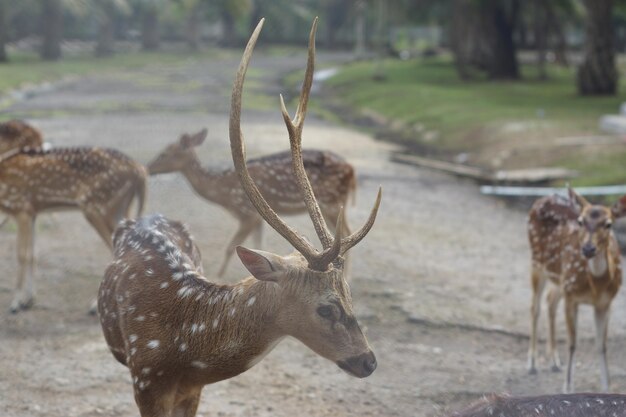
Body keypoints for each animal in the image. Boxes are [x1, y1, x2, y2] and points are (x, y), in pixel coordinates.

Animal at [0, 118, 147, 310]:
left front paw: (16, 302)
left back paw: (95, 305)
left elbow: (22, 255)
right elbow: (33, 254)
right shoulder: (32, 212)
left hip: (97, 206)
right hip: (119, 208)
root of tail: (141, 171)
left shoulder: (21, 208)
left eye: (6, 130)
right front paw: (28, 299)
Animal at [144, 127, 354, 276]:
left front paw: (219, 276)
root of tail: (352, 170)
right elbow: (258, 245)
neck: (223, 191)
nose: (147, 168)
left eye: (164, 153)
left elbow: (230, 247)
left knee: (345, 234)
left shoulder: (246, 211)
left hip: (331, 202)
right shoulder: (257, 217)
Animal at [524, 190, 620, 392]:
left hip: (560, 279)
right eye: (581, 221)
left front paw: (607, 388)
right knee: (535, 307)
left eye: (609, 224)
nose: (588, 249)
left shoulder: (605, 303)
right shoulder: (572, 296)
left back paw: (554, 362)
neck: (596, 286)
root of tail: (543, 197)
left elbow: (602, 345)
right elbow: (572, 343)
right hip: (537, 262)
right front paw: (568, 388)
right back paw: (532, 364)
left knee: (550, 300)